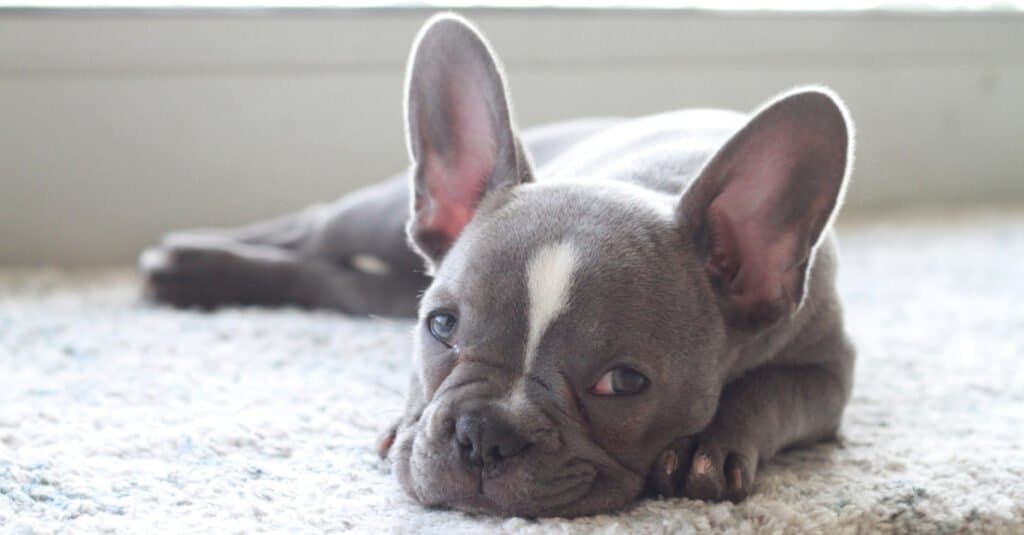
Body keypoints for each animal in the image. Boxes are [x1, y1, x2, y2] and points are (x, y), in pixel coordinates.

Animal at [138, 13, 856, 516]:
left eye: (624, 383)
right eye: (441, 327)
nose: (483, 433)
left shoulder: (827, 372)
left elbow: (767, 394)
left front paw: (705, 447)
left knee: (335, 278)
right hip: (378, 218)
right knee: (314, 227)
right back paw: (185, 261)